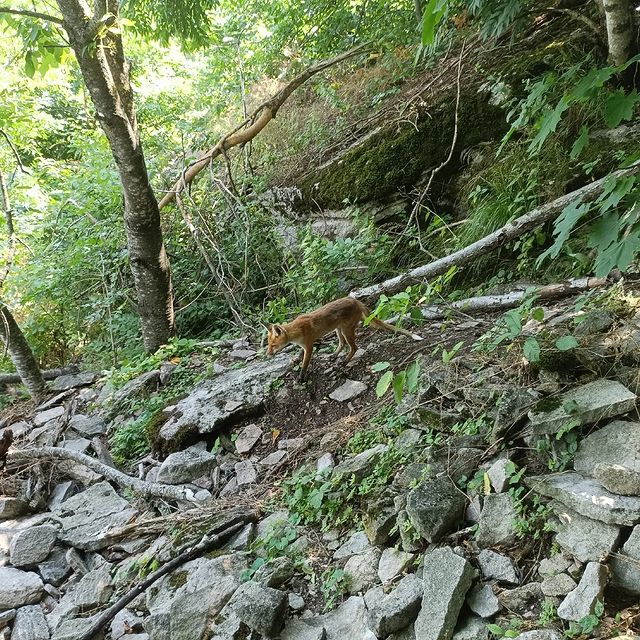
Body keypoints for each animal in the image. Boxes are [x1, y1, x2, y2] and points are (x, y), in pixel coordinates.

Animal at [266, 297, 423, 379]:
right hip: (338, 330)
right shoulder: (304, 347)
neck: (298, 331)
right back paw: (335, 356)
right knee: (342, 344)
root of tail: (355, 300)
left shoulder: (309, 346)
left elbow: (305, 365)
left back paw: (344, 362)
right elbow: (300, 356)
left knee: (354, 348)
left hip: (346, 331)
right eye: (268, 345)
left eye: (273, 345)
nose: (267, 355)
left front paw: (301, 378)